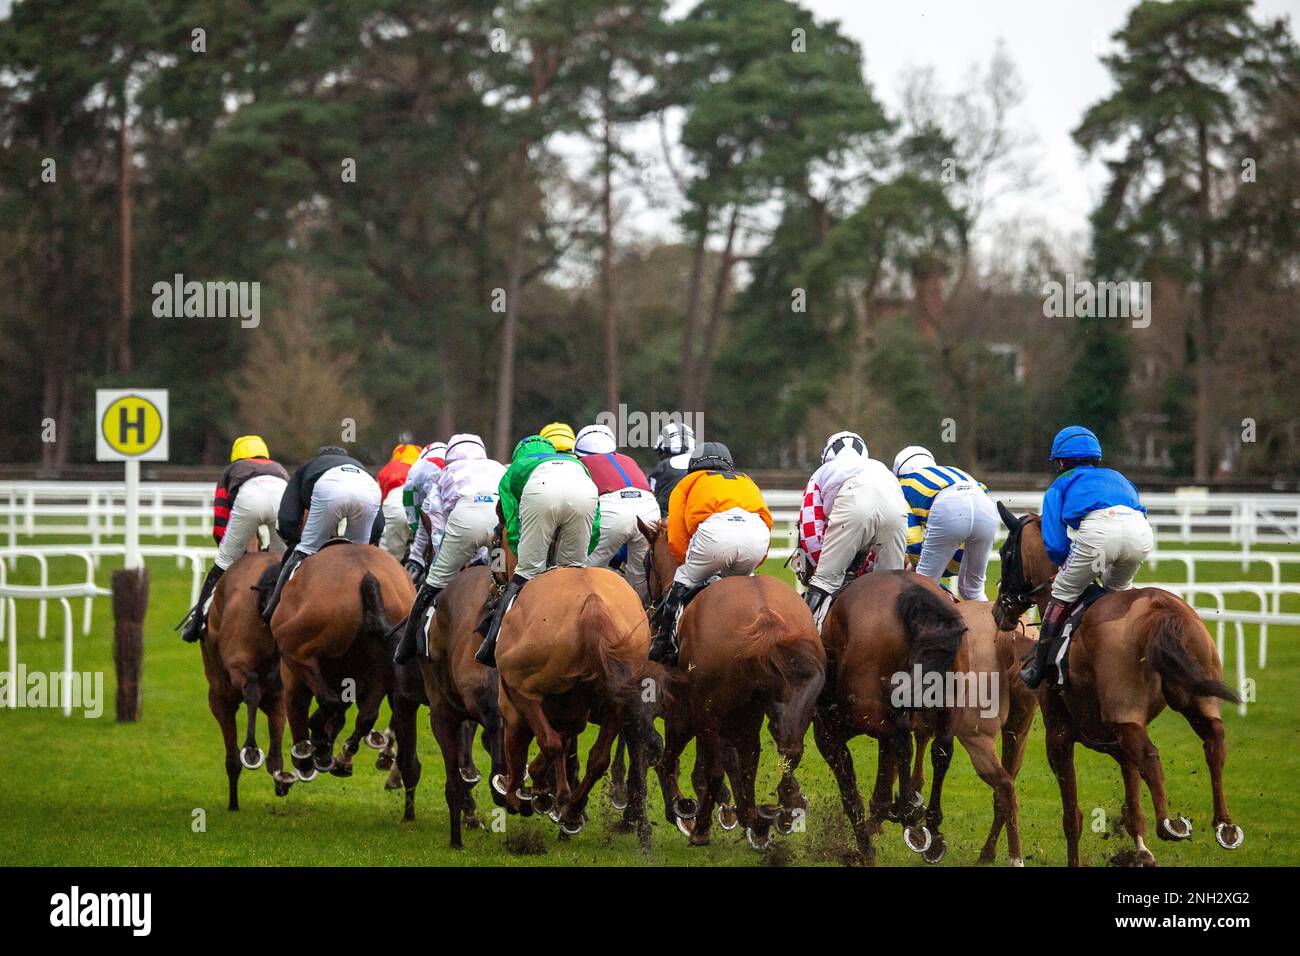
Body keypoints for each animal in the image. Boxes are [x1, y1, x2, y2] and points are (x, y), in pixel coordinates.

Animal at [270, 541, 416, 790]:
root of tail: (366, 574)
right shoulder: (358, 675)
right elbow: (348, 714)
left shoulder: (292, 670)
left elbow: (301, 709)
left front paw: (304, 757)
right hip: (384, 664)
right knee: (366, 715)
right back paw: (342, 757)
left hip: (298, 651)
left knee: (328, 701)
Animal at [637, 520, 821, 848]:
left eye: (647, 562)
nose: (651, 606)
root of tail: (766, 616)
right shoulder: (743, 713)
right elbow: (740, 763)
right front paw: (747, 818)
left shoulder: (683, 709)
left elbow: (674, 760)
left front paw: (683, 809)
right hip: (796, 699)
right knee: (788, 747)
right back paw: (783, 808)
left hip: (706, 709)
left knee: (712, 769)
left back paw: (702, 827)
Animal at [987, 504, 1242, 868]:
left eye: (1005, 553)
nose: (999, 611)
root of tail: (1159, 608)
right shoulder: (1113, 736)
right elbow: (1137, 793)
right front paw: (1147, 844)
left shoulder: (1060, 734)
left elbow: (1073, 817)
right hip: (1195, 698)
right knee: (1214, 739)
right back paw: (1224, 825)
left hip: (1126, 712)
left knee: (1148, 758)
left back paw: (1162, 829)